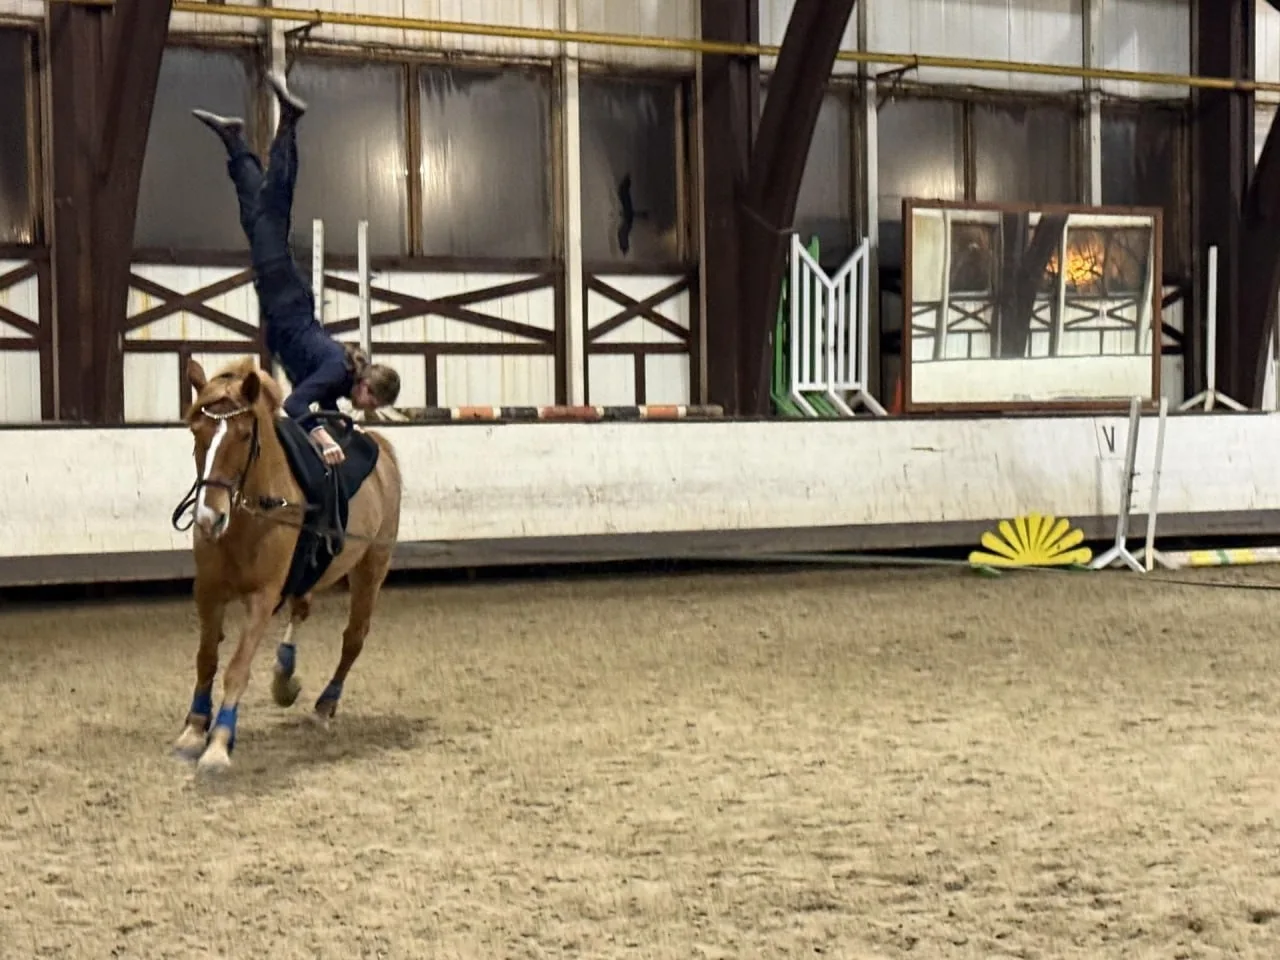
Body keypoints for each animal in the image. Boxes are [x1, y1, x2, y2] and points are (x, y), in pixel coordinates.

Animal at [171, 356, 403, 774]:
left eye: (245, 434)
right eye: (196, 430)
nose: (209, 519)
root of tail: (382, 446)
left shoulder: (262, 597)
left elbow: (238, 667)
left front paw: (219, 743)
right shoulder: (208, 590)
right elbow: (207, 659)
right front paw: (194, 729)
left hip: (371, 568)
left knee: (353, 638)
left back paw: (325, 705)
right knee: (302, 608)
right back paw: (285, 675)